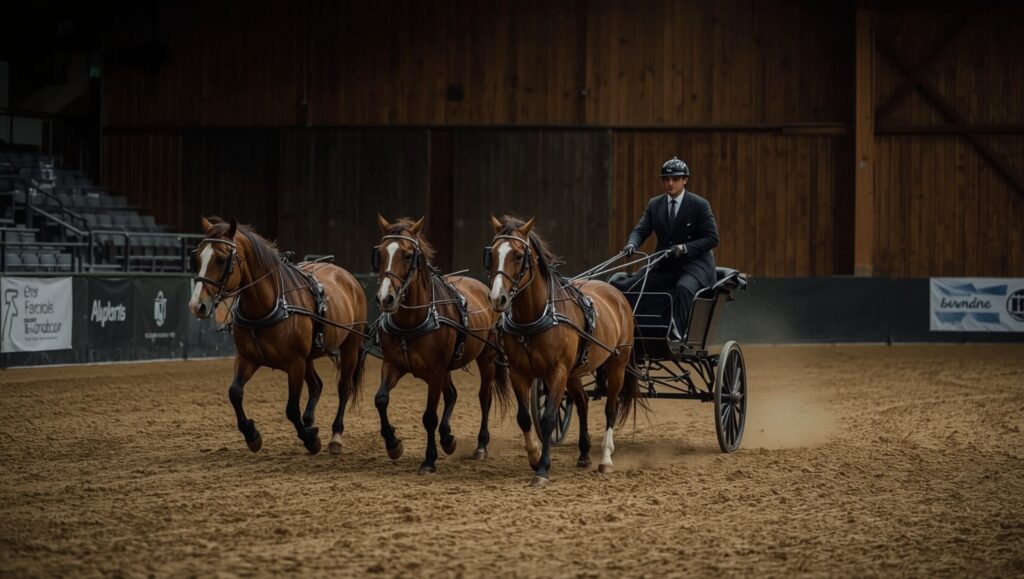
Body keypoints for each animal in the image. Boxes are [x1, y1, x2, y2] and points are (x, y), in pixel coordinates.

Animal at [188, 217, 368, 455]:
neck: (268, 306)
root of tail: (347, 277)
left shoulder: (295, 362)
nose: (197, 305)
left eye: (221, 259)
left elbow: (291, 408)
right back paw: (309, 422)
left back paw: (335, 436)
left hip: (350, 346)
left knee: (343, 388)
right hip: (310, 356)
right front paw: (252, 435)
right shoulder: (247, 358)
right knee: (317, 385)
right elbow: (235, 392)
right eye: (197, 258)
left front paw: (311, 440)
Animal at [372, 215, 510, 474]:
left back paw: (480, 445)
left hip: (486, 358)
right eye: (381, 253)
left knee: (484, 397)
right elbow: (381, 399)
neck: (413, 321)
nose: (385, 298)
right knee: (452, 394)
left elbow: (429, 416)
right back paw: (447, 438)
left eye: (408, 255)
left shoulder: (435, 372)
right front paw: (393, 444)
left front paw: (429, 460)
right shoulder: (393, 364)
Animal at [486, 215, 641, 486]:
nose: (498, 298)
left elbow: (548, 419)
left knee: (610, 408)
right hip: (574, 373)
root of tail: (618, 295)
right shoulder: (519, 373)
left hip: (617, 364)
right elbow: (524, 417)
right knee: (582, 404)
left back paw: (605, 459)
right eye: (492, 253)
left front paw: (542, 469)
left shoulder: (557, 371)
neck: (535, 317)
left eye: (519, 255)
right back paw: (584, 454)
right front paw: (534, 455)